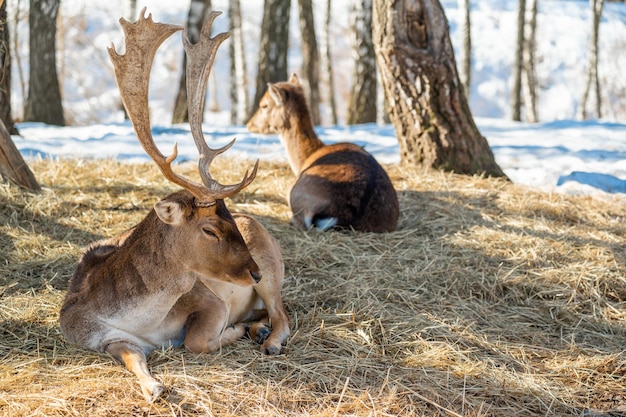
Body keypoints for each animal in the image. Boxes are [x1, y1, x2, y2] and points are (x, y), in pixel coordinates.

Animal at [59, 8, 288, 400]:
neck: (142, 321)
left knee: (283, 314)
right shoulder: (99, 335)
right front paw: (154, 387)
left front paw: (233, 331)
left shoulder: (210, 300)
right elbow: (133, 357)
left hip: (273, 266)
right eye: (209, 229)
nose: (253, 272)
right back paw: (257, 328)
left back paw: (267, 339)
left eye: (228, 217)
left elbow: (195, 341)